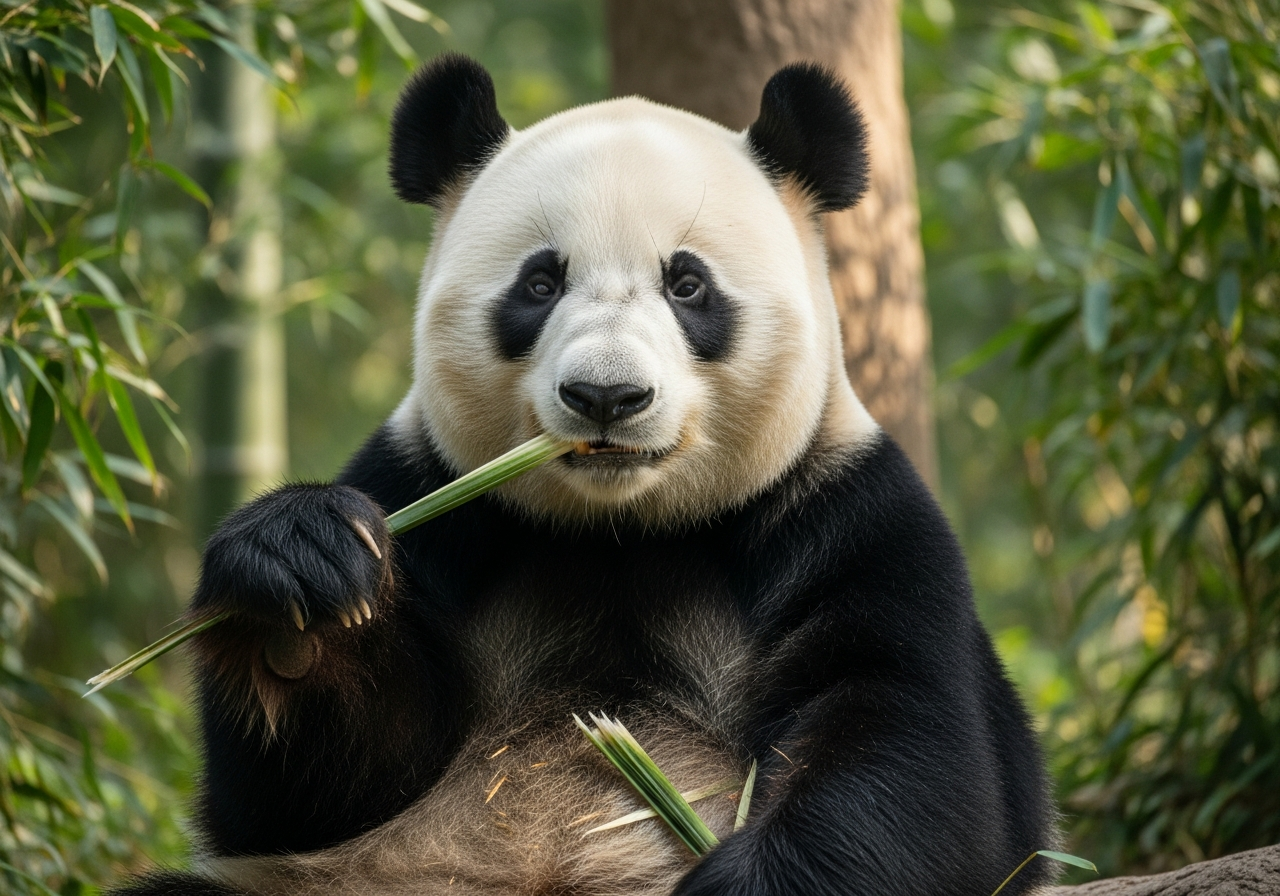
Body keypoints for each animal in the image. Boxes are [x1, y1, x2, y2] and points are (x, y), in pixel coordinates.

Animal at [114, 54, 1057, 896]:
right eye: (539, 283)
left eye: (687, 285)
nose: (607, 396)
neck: (619, 532)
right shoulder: (431, 501)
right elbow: (311, 796)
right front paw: (302, 577)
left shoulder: (849, 514)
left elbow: (911, 756)